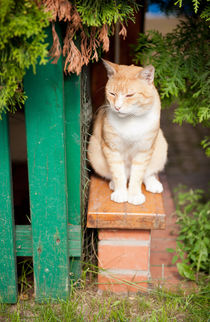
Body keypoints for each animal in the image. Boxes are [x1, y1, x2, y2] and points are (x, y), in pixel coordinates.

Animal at [88, 60, 168, 205]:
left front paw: (134, 195)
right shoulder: (112, 149)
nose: (117, 107)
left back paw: (153, 183)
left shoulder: (144, 150)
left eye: (130, 95)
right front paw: (121, 192)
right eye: (112, 93)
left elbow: (137, 176)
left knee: (147, 173)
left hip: (161, 146)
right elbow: (118, 174)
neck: (131, 119)